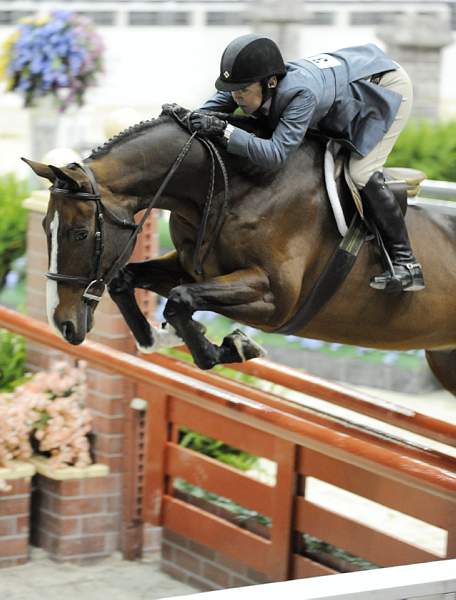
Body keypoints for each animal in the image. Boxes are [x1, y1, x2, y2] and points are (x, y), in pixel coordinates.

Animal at [23, 110, 456, 396]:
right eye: (46, 229)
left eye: (80, 233)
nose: (62, 324)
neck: (233, 187)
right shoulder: (192, 266)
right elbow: (130, 281)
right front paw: (165, 340)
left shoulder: (276, 299)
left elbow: (181, 299)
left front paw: (233, 345)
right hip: (444, 360)